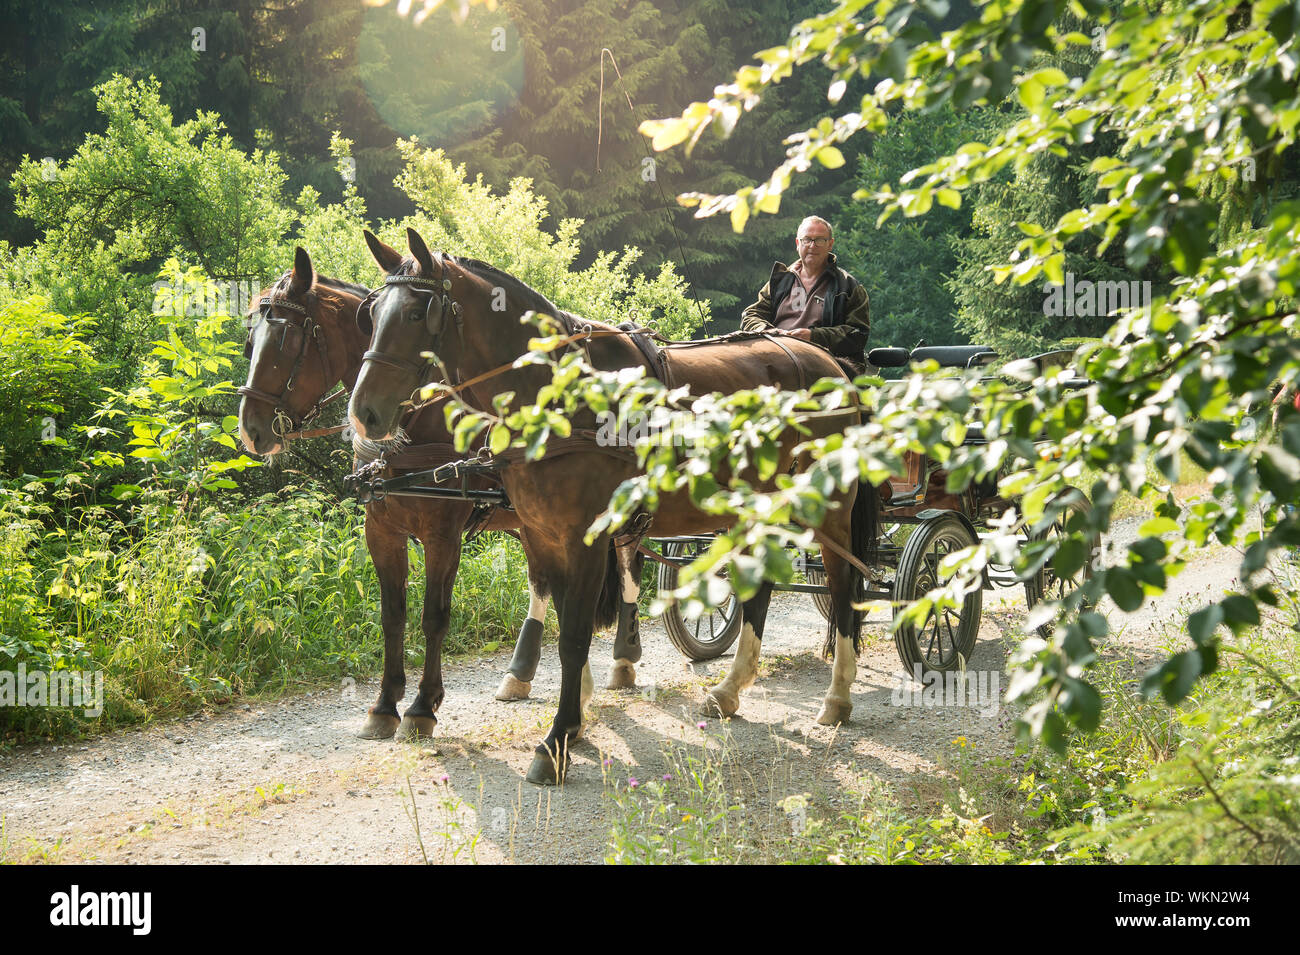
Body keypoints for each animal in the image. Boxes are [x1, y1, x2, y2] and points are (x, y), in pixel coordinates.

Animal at [236, 246, 637, 738]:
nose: (251, 430)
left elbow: (433, 617)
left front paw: (422, 706)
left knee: (629, 574)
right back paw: (542, 681)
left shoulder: (442, 536)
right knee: (549, 587)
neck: (414, 423)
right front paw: (385, 704)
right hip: (535, 524)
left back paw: (623, 663)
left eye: (287, 341)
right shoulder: (381, 531)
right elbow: (392, 616)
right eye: (251, 339)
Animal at [345, 229, 878, 784]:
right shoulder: (542, 533)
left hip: (830, 508)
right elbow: (558, 622)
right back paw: (729, 691)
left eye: (416, 313)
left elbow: (574, 637)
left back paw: (837, 698)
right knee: (760, 589)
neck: (558, 394)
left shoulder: (579, 536)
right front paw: (573, 723)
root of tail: (832, 365)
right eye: (372, 312)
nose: (364, 414)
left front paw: (555, 741)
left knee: (844, 587)